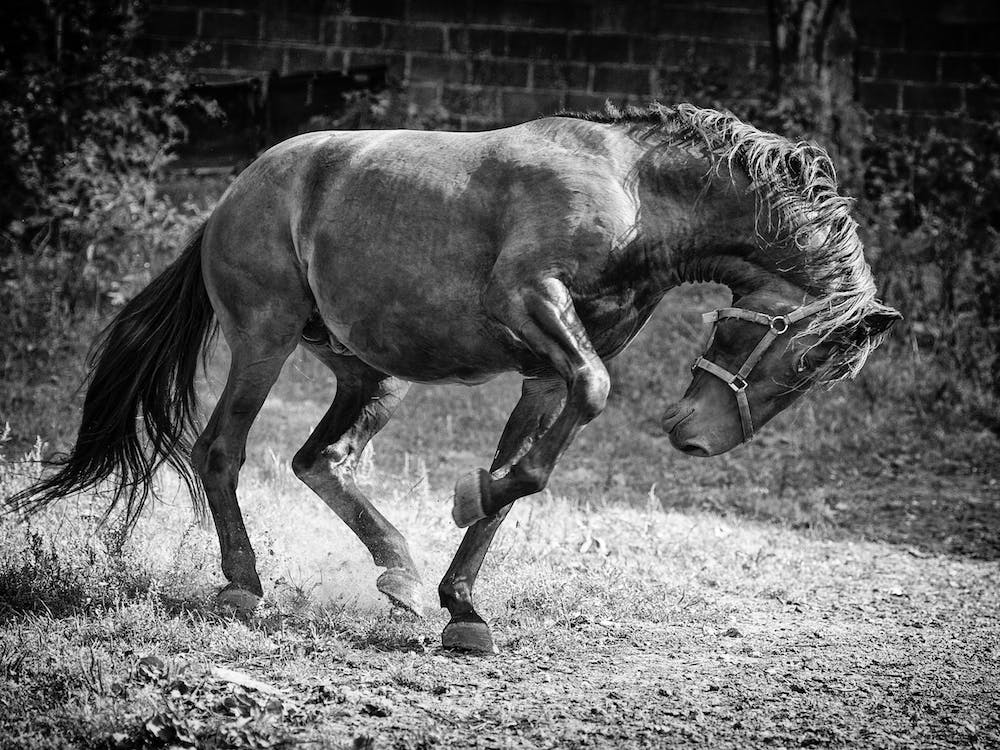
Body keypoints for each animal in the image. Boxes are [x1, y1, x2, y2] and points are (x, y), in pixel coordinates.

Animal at [7, 103, 899, 653]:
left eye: (811, 380)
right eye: (783, 348)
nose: (697, 440)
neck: (637, 192)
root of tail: (231, 197)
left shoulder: (547, 372)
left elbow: (524, 475)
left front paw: (463, 608)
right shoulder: (531, 303)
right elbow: (578, 412)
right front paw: (465, 510)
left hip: (372, 373)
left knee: (319, 461)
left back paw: (398, 573)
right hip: (263, 339)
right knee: (221, 450)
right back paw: (243, 586)